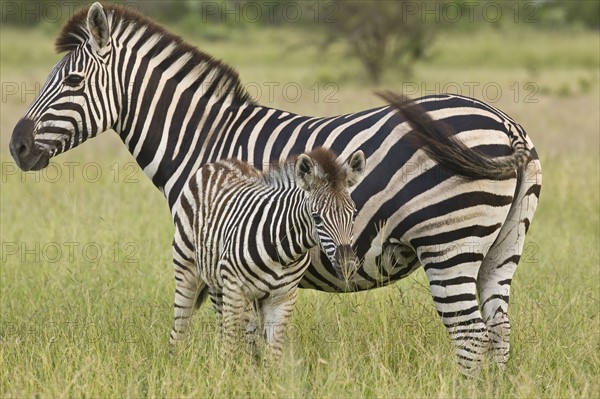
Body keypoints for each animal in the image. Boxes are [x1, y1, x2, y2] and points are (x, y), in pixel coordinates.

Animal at [169, 148, 366, 360]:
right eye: (317, 218)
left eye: (353, 214)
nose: (347, 266)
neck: (284, 254)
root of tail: (219, 163)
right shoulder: (235, 288)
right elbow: (230, 344)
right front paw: (226, 369)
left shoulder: (283, 298)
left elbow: (273, 352)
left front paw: (261, 369)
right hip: (188, 270)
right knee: (180, 328)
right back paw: (176, 361)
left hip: (222, 282)